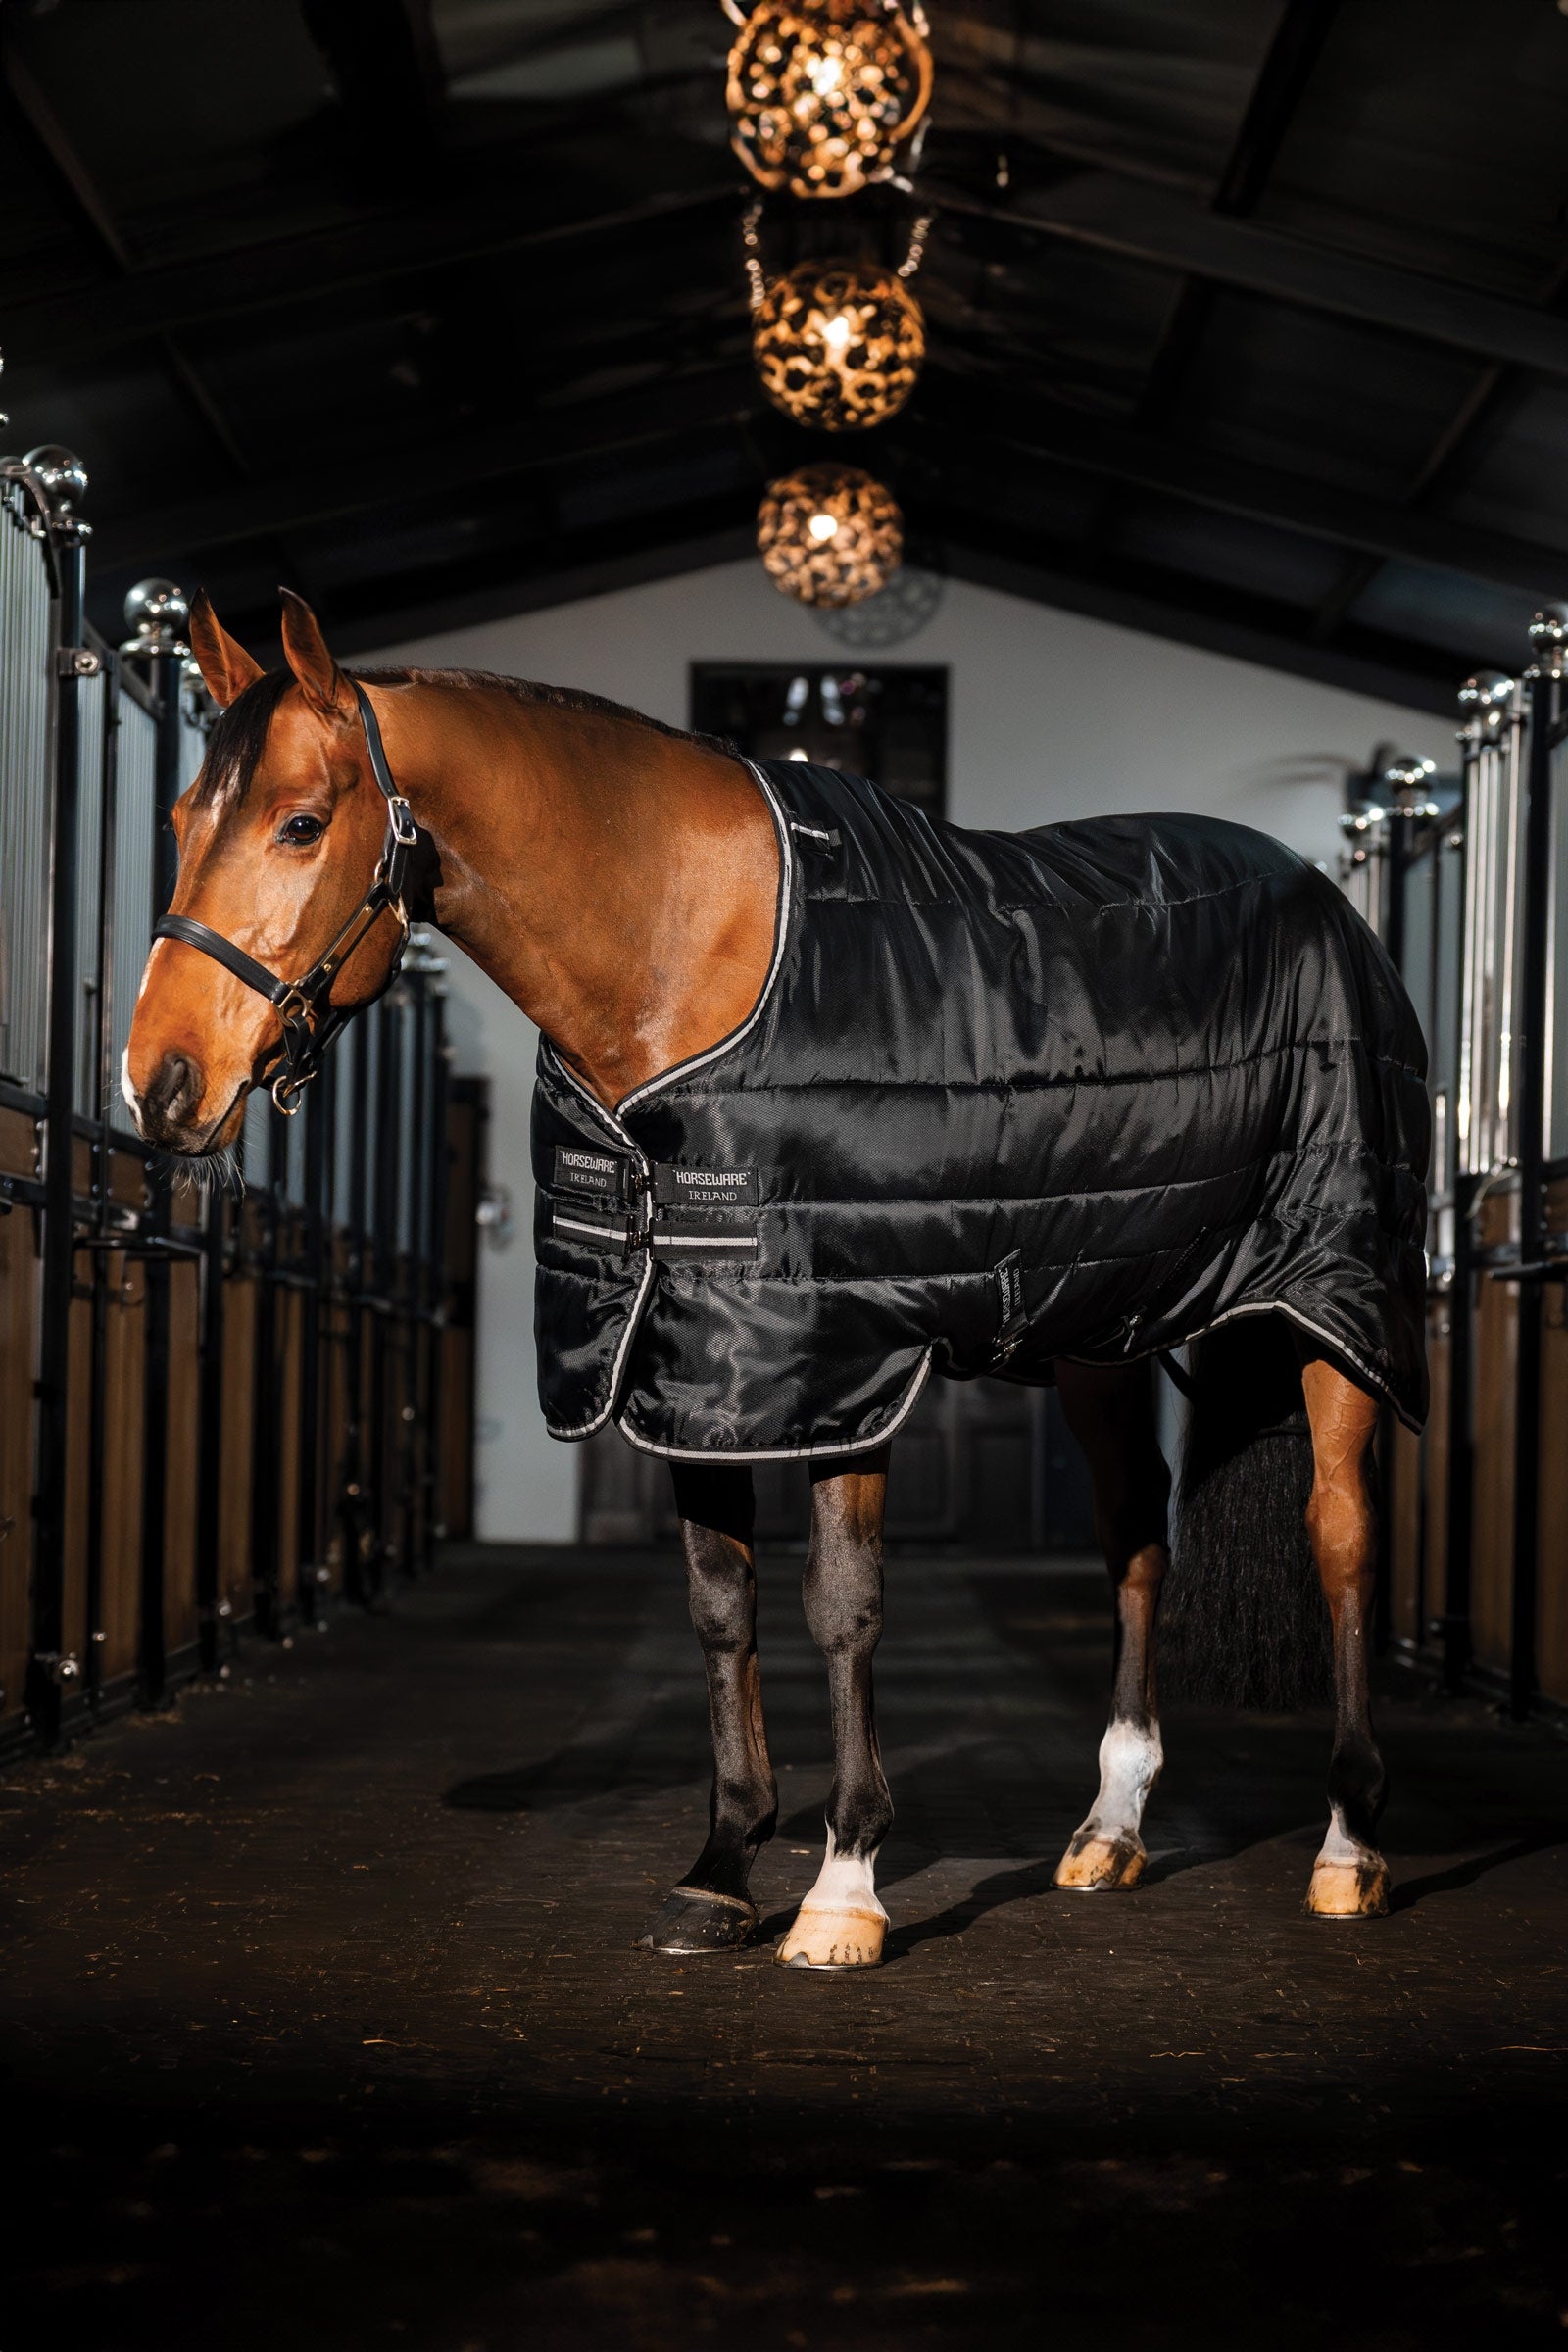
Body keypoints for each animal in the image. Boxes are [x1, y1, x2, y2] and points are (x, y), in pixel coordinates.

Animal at [123, 586, 1427, 1966]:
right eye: (179, 822)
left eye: (301, 823)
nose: (158, 1085)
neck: (683, 952)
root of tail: (1320, 895)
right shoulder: (695, 1360)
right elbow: (720, 1603)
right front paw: (721, 1869)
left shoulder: (841, 1355)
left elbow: (840, 1605)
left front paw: (842, 1887)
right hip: (1102, 1329)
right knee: (1136, 1531)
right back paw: (1107, 1831)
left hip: (1332, 1306)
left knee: (1341, 1534)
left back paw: (1349, 1847)